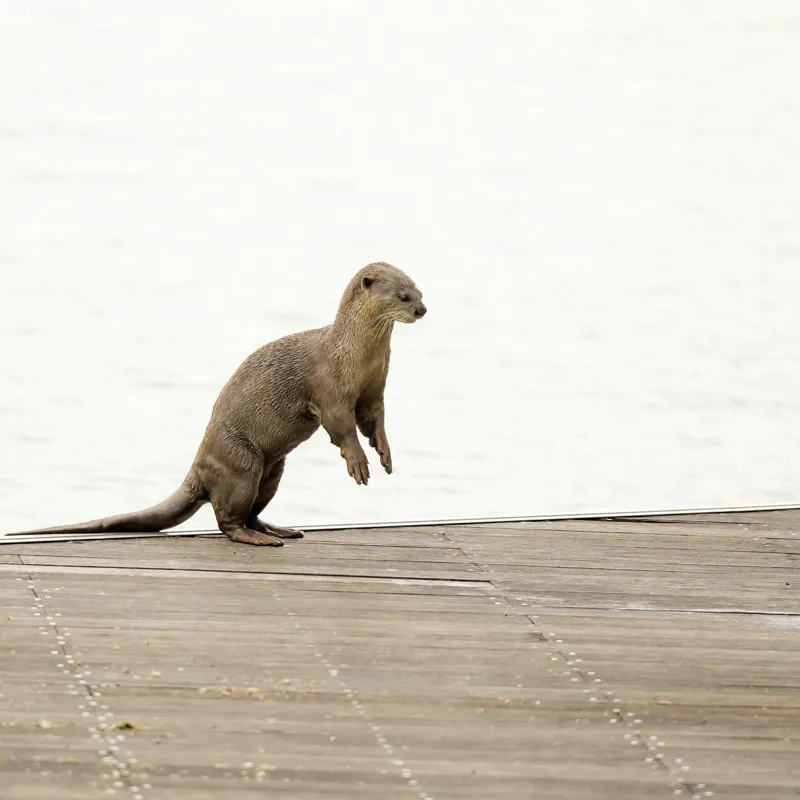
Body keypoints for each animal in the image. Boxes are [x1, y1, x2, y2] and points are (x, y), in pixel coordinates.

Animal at [7, 262, 426, 546]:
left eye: (419, 291)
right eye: (402, 296)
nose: (422, 310)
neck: (356, 356)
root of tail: (200, 467)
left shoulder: (373, 390)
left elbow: (374, 420)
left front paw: (385, 453)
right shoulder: (329, 389)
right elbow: (341, 428)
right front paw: (358, 463)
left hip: (272, 470)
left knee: (251, 510)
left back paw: (278, 529)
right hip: (242, 463)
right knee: (226, 519)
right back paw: (258, 537)